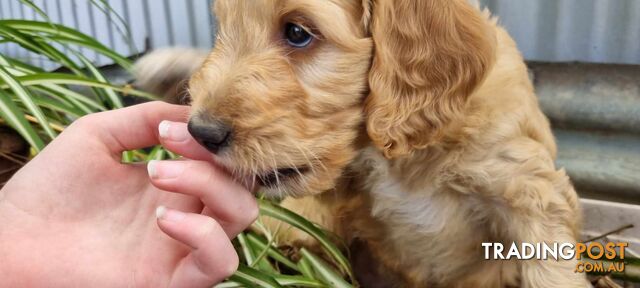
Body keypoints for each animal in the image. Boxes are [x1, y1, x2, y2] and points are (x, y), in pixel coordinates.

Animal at [139, 0, 592, 286]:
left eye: (298, 33)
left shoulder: (527, 189)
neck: (400, 156)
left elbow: (552, 271)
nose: (202, 132)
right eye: (224, 27)